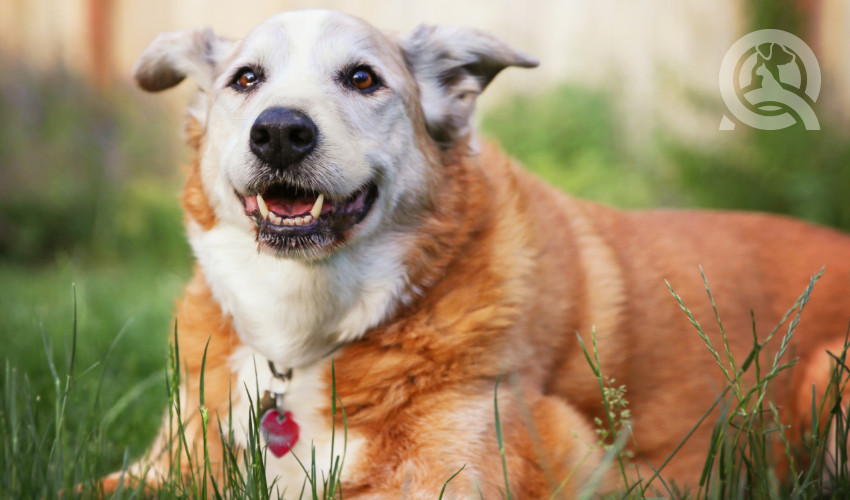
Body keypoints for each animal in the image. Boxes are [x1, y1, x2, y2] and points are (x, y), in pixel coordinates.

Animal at [121, 9, 850, 498]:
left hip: (828, 375)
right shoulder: (158, 467)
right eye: (247, 79)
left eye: (362, 78)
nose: (277, 131)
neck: (304, 339)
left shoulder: (457, 477)